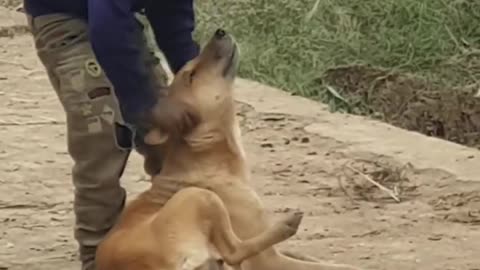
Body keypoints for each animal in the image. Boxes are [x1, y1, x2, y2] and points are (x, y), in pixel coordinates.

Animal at [95, 29, 362, 270]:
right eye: (191, 75)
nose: (219, 32)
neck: (207, 154)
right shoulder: (269, 260)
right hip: (198, 196)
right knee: (235, 251)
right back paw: (286, 226)